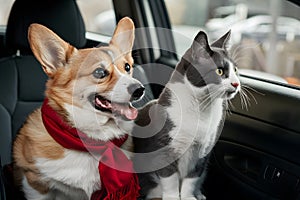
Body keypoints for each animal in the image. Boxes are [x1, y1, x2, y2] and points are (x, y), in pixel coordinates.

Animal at [132, 28, 240, 199]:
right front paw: (172, 197)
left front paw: (189, 196)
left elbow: (192, 178)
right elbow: (170, 178)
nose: (236, 84)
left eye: (235, 69)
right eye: (219, 71)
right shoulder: (164, 146)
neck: (201, 108)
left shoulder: (203, 150)